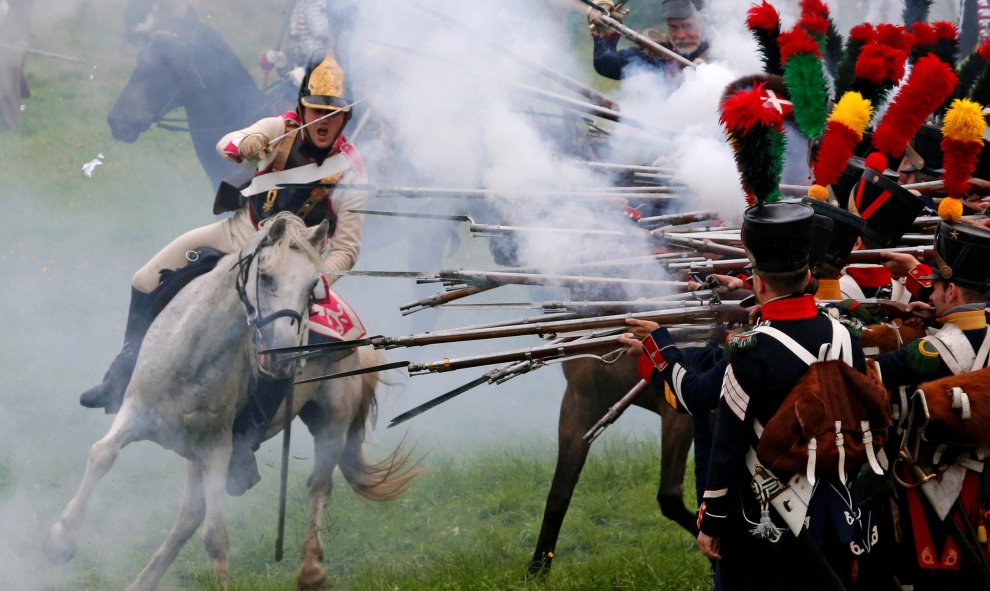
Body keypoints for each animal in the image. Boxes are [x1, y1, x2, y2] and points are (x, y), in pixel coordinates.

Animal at [44, 214, 416, 591]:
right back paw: (142, 582)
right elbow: (102, 454)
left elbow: (216, 537)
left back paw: (311, 570)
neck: (192, 355)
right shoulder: (137, 413)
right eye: (265, 276)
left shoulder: (218, 447)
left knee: (318, 486)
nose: (284, 357)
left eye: (313, 286)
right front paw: (61, 540)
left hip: (331, 423)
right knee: (188, 517)